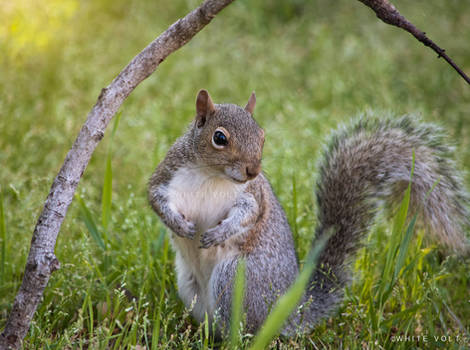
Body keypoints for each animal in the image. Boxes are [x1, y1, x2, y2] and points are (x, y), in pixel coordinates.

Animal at [148, 89, 470, 336]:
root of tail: (290, 313)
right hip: (190, 284)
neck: (212, 176)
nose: (253, 170)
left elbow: (248, 216)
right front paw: (179, 226)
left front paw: (218, 233)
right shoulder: (166, 176)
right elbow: (155, 200)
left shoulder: (253, 196)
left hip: (237, 277)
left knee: (244, 331)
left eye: (262, 136)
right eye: (219, 138)